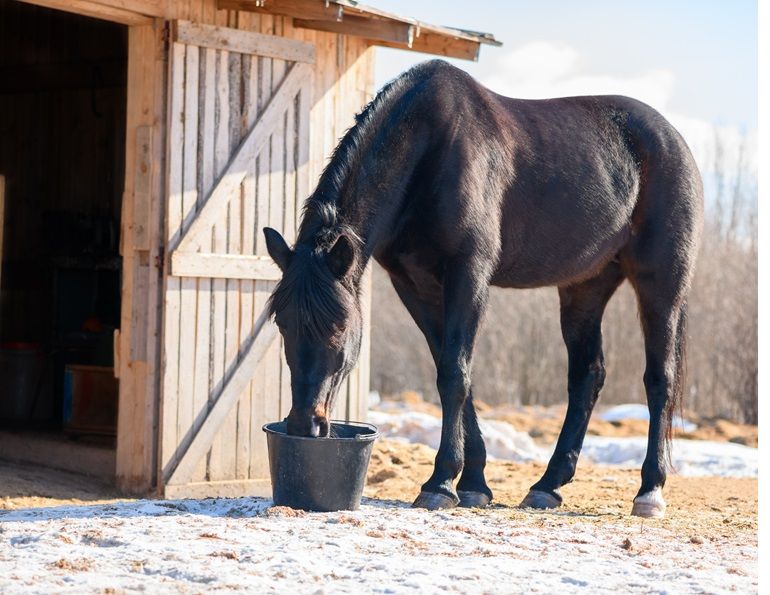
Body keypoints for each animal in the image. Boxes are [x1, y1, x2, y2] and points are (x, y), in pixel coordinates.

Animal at [264, 59, 703, 518]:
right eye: (282, 324)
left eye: (339, 326)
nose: (304, 425)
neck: (429, 149)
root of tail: (673, 140)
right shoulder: (415, 286)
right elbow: (456, 373)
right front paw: (472, 483)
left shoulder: (469, 274)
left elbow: (454, 374)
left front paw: (440, 484)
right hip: (585, 286)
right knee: (587, 375)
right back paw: (547, 486)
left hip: (661, 283)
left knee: (660, 378)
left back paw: (650, 490)